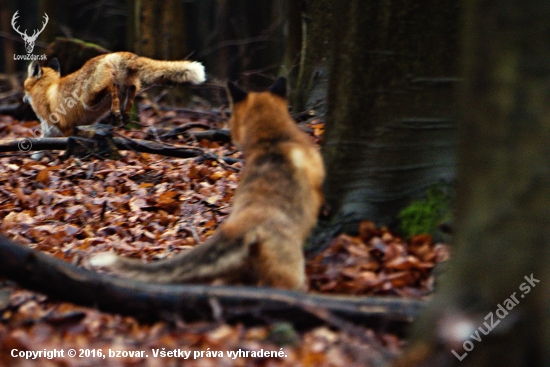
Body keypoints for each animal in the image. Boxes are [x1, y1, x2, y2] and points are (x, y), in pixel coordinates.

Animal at [22, 52, 207, 159]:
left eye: (24, 87)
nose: (23, 99)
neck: (46, 88)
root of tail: (116, 53)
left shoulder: (62, 127)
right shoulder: (53, 128)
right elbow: (41, 141)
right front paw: (36, 156)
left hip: (89, 99)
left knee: (112, 88)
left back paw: (117, 110)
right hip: (125, 88)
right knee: (131, 90)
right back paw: (123, 114)